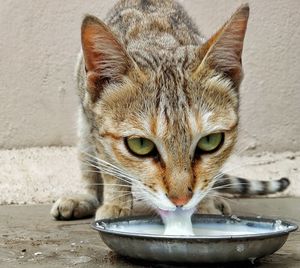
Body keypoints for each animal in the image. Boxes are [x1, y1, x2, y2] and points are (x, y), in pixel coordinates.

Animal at [50, 0, 290, 221]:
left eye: (210, 141)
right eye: (140, 145)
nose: (181, 200)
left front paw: (205, 207)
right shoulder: (95, 126)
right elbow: (109, 169)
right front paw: (116, 205)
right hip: (83, 128)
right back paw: (84, 197)